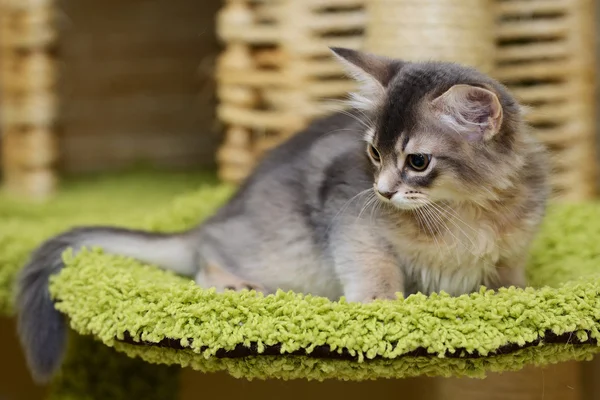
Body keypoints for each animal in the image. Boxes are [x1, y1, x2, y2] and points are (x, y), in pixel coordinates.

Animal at [15, 48, 548, 382]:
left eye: (417, 162)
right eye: (374, 153)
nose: (381, 190)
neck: (465, 211)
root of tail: (213, 217)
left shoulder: (511, 251)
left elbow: (508, 282)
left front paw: (517, 301)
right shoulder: (350, 220)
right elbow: (374, 272)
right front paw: (382, 309)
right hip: (279, 251)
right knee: (205, 256)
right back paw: (231, 284)